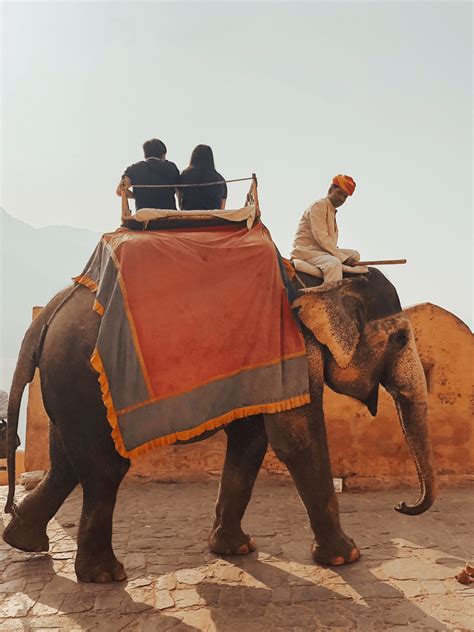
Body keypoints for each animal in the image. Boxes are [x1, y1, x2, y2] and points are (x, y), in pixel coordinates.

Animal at [1, 266, 436, 584]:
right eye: (400, 338)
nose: (402, 505)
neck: (320, 280)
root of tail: (47, 315)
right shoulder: (293, 350)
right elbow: (295, 439)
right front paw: (347, 556)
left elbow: (251, 439)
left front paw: (236, 549)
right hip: (85, 377)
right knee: (105, 468)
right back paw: (105, 576)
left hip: (65, 381)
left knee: (66, 463)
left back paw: (23, 541)